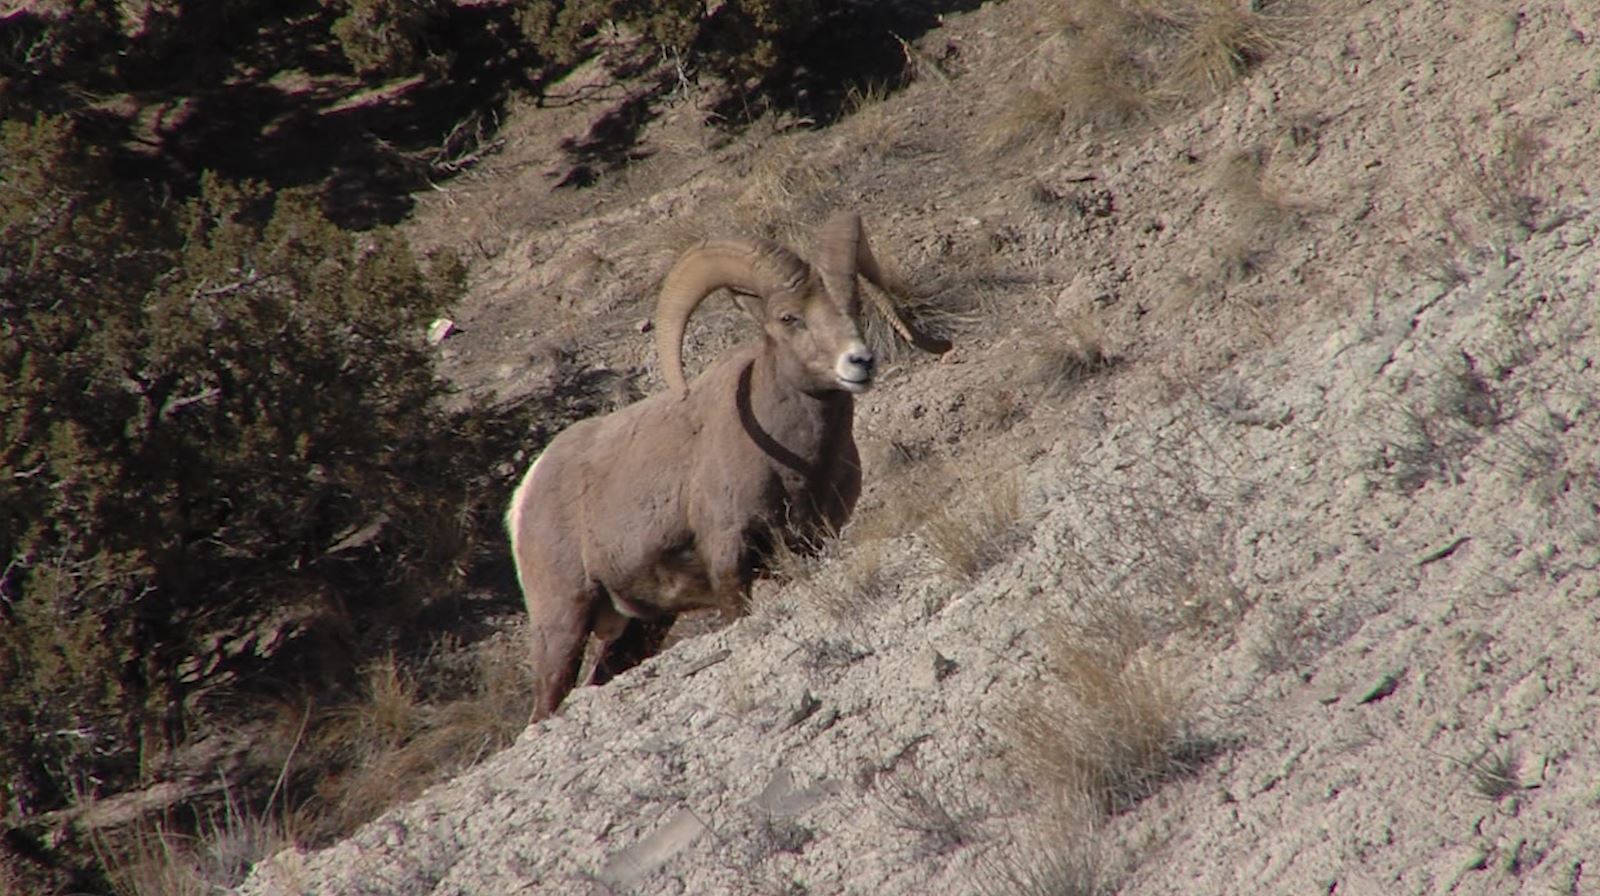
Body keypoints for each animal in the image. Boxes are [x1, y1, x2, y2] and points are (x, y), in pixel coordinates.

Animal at [505, 211, 950, 718]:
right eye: (789, 317)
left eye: (853, 304)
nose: (860, 362)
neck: (796, 464)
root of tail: (524, 497)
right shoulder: (729, 560)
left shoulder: (814, 542)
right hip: (562, 623)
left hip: (640, 628)